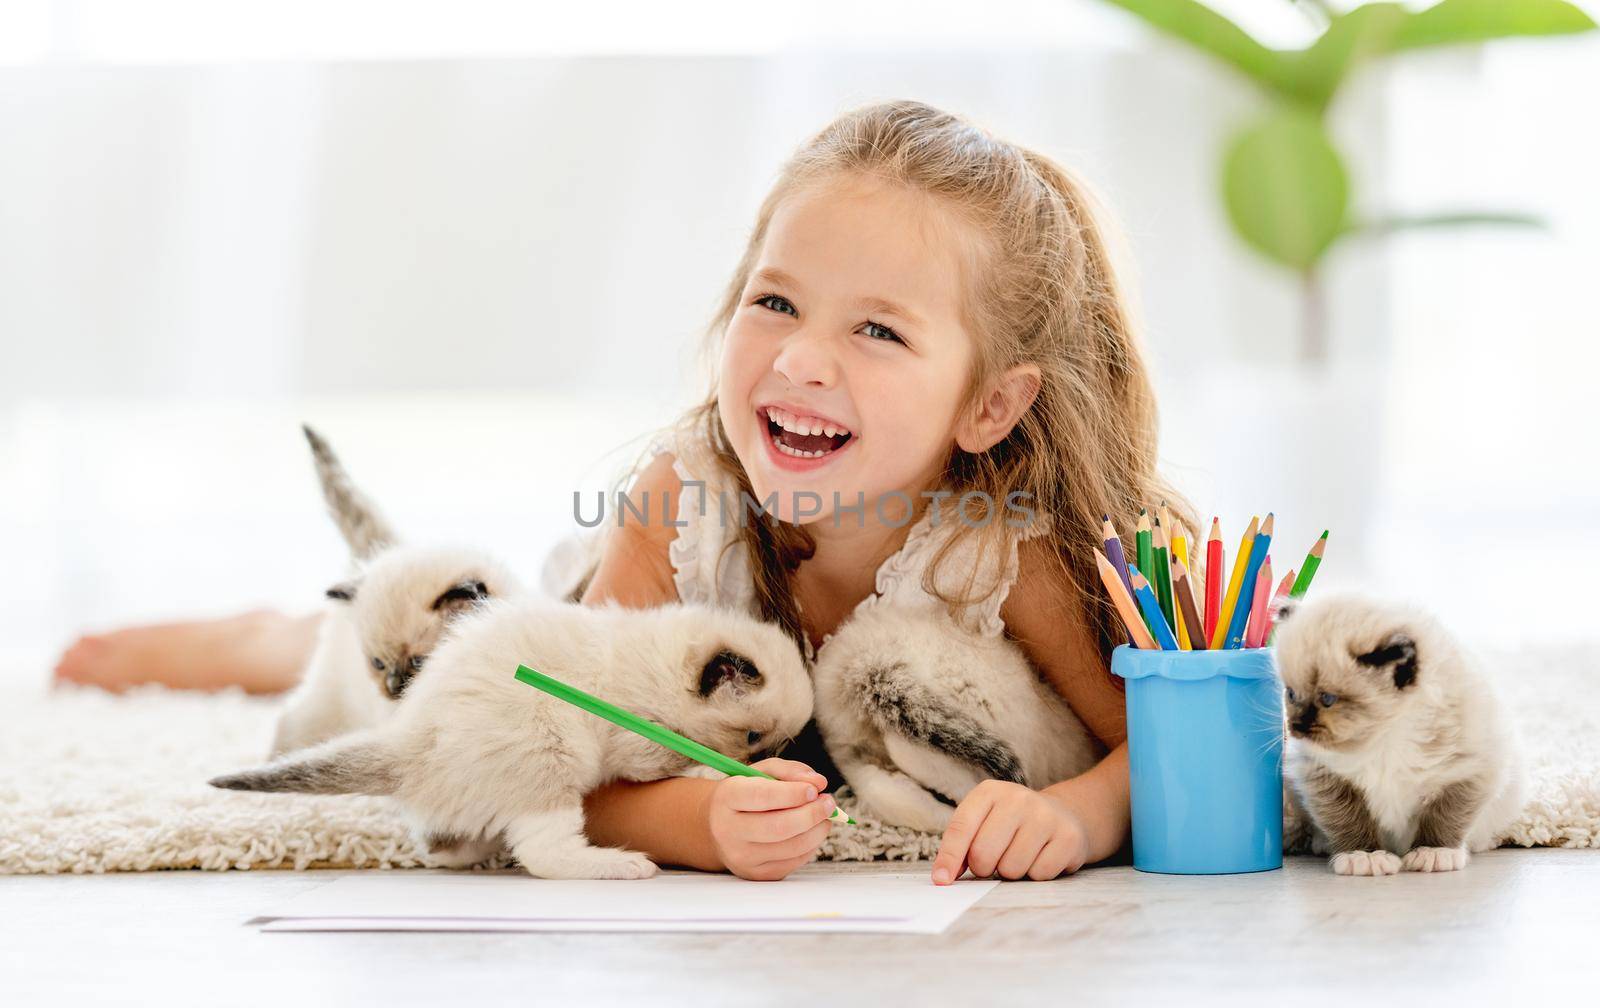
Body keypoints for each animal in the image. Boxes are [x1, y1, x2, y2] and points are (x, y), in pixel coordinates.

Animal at [212, 604, 812, 883]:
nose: (767, 758)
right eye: (752, 737)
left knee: (443, 845)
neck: (655, 664)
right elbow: (683, 761)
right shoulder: (640, 742)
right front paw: (736, 777)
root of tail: (409, 745)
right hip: (552, 751)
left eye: (778, 741)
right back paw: (622, 865)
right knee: (543, 854)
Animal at [268, 428, 518, 758]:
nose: (392, 685)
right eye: (377, 664)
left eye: (419, 664)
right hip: (323, 705)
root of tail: (381, 552)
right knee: (290, 721)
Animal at [1273, 595, 1523, 883]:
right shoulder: (1325, 775)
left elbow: (1444, 817)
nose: (1295, 727)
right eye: (1291, 694)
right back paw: (1322, 844)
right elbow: (1348, 819)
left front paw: (1434, 851)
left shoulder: (1468, 773)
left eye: (1327, 699)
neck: (1383, 736)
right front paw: (1363, 855)